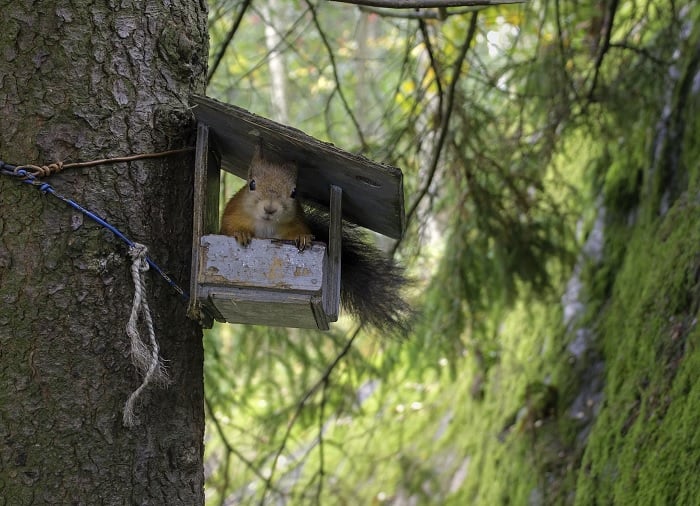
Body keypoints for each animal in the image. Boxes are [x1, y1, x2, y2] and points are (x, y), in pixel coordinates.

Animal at [219, 146, 413, 336]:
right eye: (251, 184)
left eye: (294, 192)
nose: (270, 208)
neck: (266, 224)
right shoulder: (232, 214)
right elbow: (229, 228)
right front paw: (241, 233)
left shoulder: (295, 222)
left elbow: (299, 233)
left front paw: (302, 238)